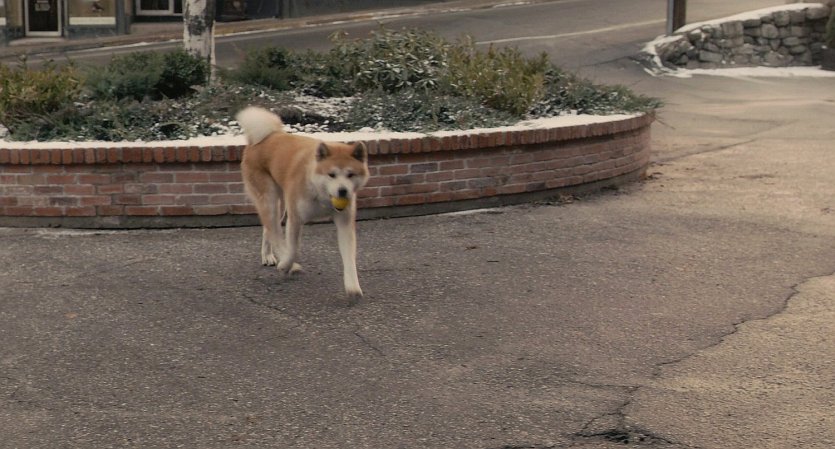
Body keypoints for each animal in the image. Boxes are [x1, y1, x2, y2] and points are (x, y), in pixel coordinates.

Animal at [236, 106, 369, 299]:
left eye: (350, 174)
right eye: (332, 174)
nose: (342, 191)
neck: (320, 193)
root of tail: (265, 137)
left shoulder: (344, 223)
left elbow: (349, 257)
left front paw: (352, 286)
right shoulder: (295, 218)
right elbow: (293, 249)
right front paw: (286, 264)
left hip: (280, 205)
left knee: (268, 228)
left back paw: (267, 255)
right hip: (270, 200)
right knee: (274, 232)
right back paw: (285, 262)